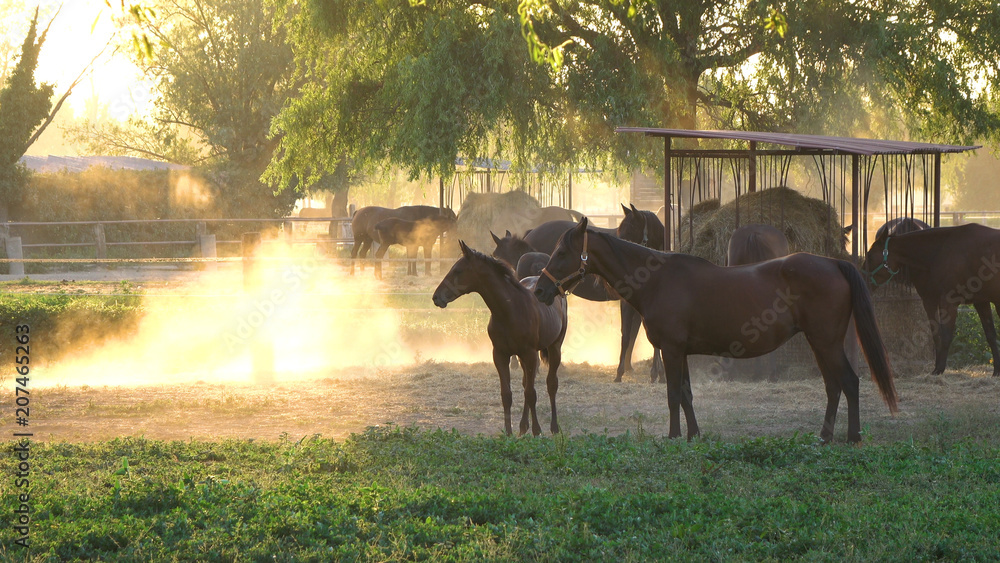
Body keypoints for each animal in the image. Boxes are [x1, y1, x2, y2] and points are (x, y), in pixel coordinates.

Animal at [432, 242, 568, 436]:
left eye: (458, 270)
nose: (436, 297)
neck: (509, 310)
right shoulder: (501, 355)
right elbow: (507, 395)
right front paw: (509, 432)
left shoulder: (529, 354)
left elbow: (531, 393)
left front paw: (537, 430)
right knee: (526, 383)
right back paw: (523, 426)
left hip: (554, 347)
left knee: (551, 384)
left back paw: (554, 427)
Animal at [536, 220, 904, 446]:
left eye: (562, 253)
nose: (540, 290)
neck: (657, 279)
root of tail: (834, 264)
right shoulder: (680, 351)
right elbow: (686, 394)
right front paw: (693, 435)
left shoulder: (671, 350)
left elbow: (673, 395)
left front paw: (673, 436)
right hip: (820, 344)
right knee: (833, 386)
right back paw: (825, 436)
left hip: (826, 342)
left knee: (849, 382)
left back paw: (852, 436)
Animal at [860, 223, 1000, 376]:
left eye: (870, 256)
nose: (861, 278)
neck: (942, 251)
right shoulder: (980, 302)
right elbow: (990, 335)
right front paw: (996, 371)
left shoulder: (947, 302)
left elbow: (945, 336)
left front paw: (939, 369)